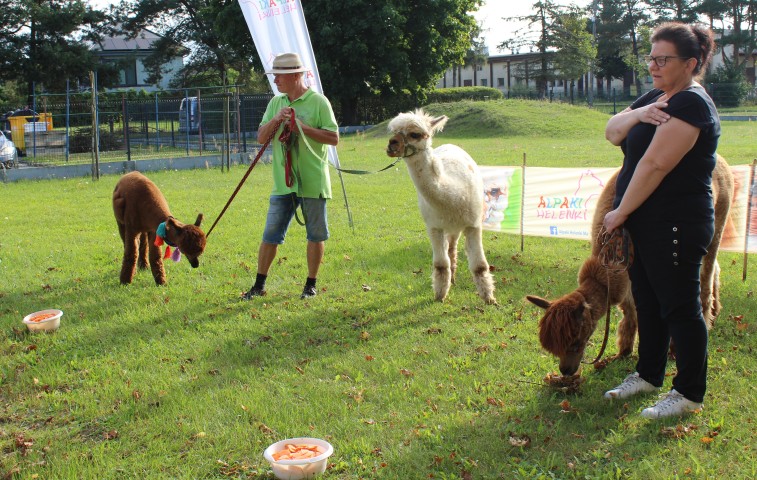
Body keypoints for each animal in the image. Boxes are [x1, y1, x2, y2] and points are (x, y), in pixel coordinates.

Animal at [386, 109, 496, 304]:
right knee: (450, 250)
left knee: (453, 248)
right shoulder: (434, 227)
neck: (452, 195)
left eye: (415, 134)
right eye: (394, 131)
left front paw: (489, 298)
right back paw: (451, 279)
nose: (391, 144)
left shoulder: (473, 224)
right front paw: (439, 295)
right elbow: (440, 264)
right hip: (448, 227)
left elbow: (480, 266)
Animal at [526, 155, 734, 375]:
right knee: (714, 268)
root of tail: (722, 161)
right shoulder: (628, 280)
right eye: (554, 349)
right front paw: (623, 352)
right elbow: (630, 312)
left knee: (706, 274)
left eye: (576, 341)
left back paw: (706, 316)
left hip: (714, 223)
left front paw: (669, 351)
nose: (566, 370)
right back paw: (715, 311)